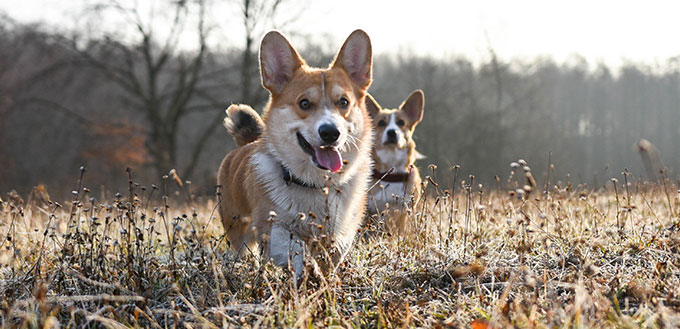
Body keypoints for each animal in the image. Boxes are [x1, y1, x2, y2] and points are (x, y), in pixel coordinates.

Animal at [218, 30, 374, 276]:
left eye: (343, 102)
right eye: (304, 103)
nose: (331, 133)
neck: (314, 184)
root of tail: (246, 143)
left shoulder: (342, 232)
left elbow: (333, 253)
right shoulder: (274, 228)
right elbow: (297, 249)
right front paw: (310, 273)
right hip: (237, 231)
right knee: (241, 251)